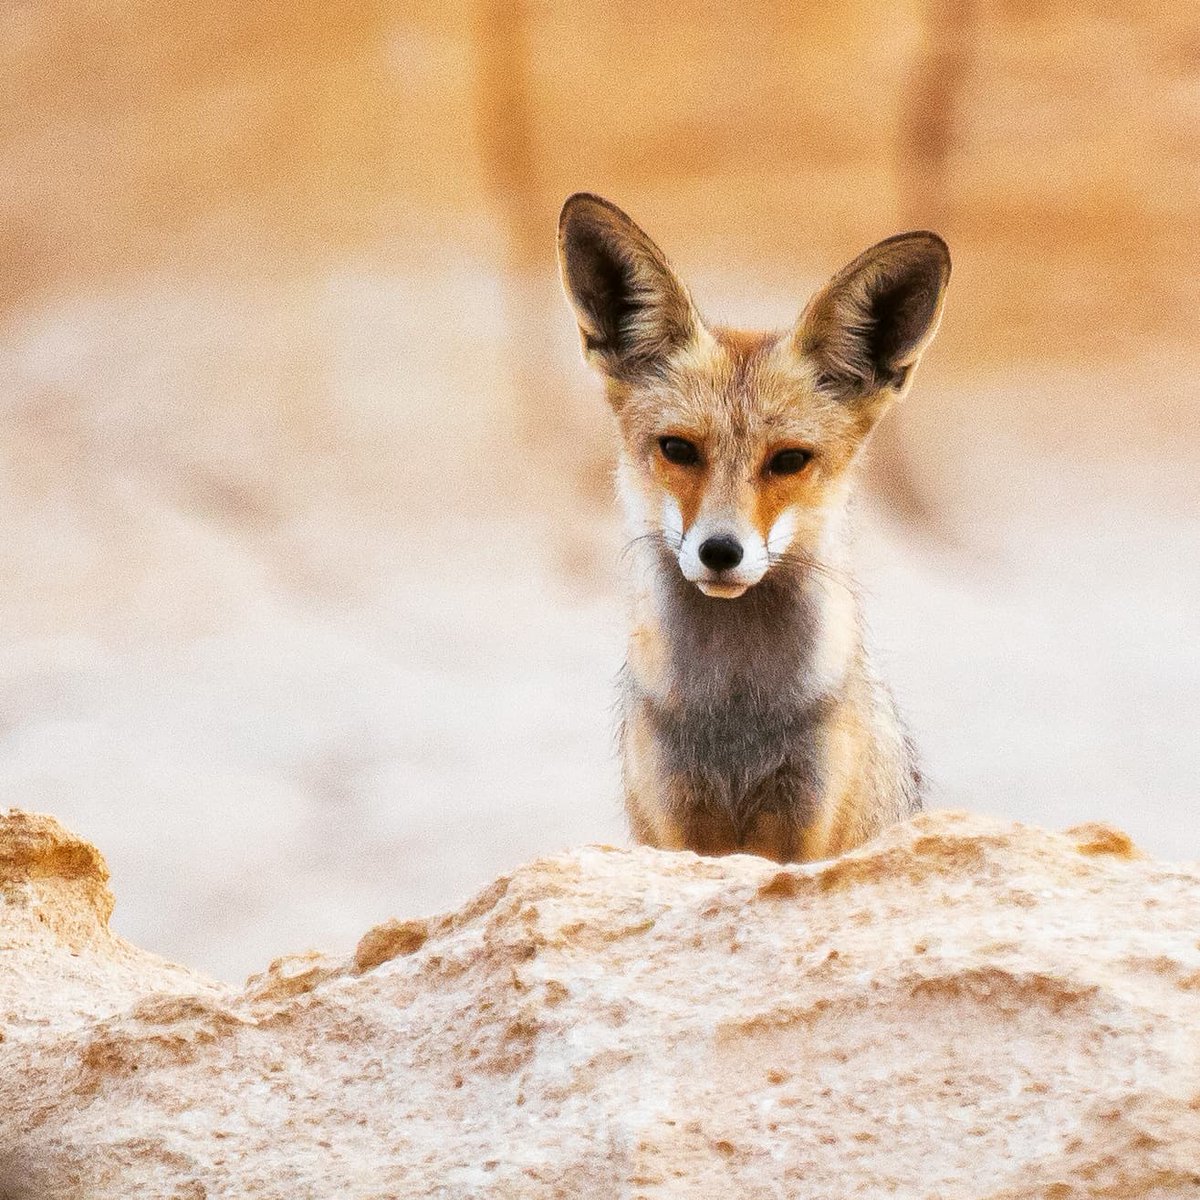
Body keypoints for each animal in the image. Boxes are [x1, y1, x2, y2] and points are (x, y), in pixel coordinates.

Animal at [557, 193, 951, 863]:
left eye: (789, 460)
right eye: (678, 449)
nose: (721, 551)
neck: (737, 714)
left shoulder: (809, 816)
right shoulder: (677, 815)